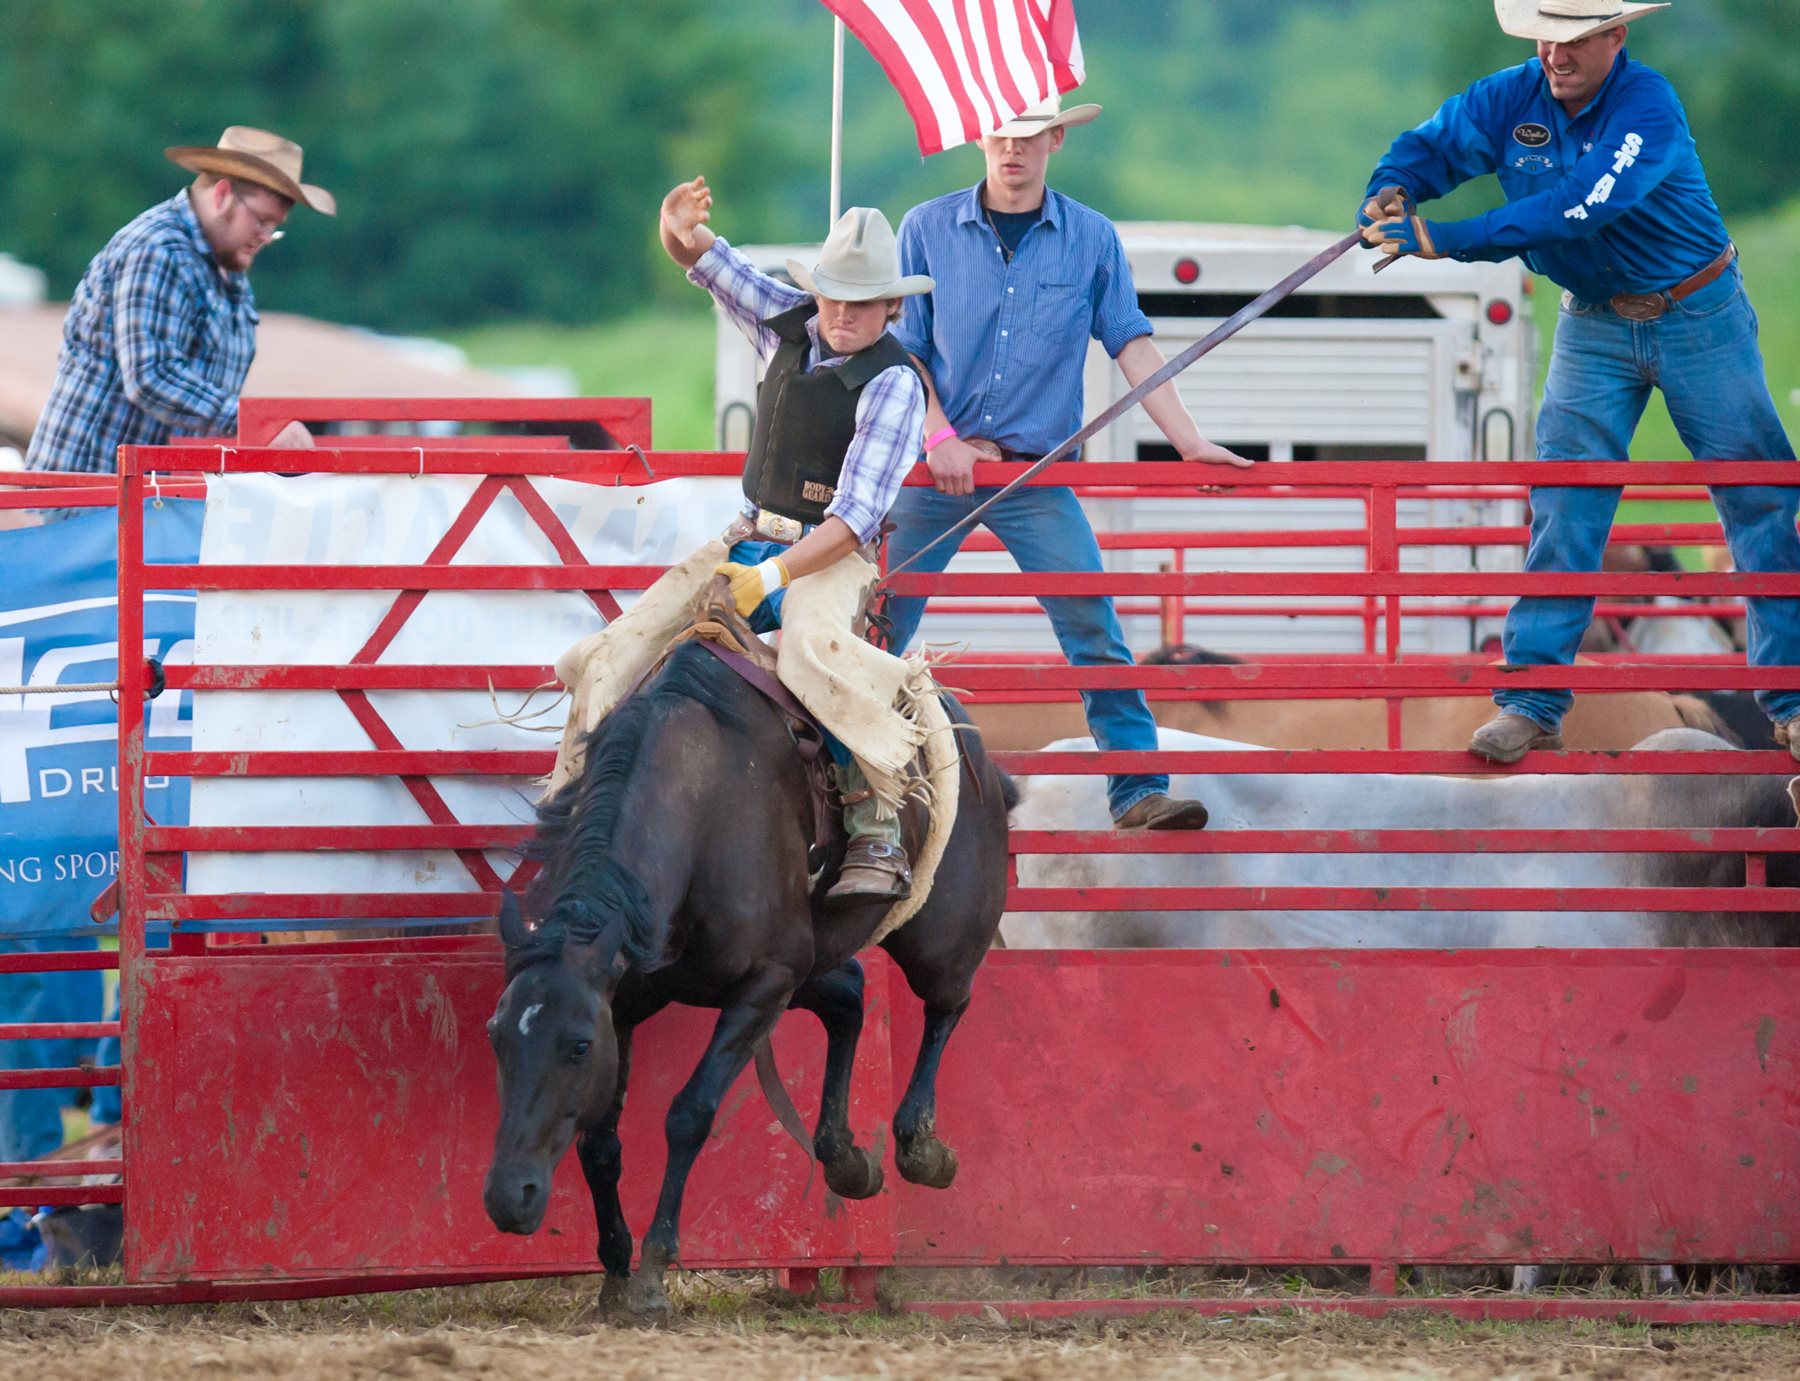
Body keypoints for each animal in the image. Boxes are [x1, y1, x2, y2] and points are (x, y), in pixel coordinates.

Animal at [478, 637, 1015, 1317]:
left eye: (576, 1045)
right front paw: (616, 1271)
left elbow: (689, 1114)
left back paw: (919, 1145)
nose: (507, 1198)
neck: (700, 809)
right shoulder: (625, 1001)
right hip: (814, 962)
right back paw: (846, 1159)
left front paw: (654, 1269)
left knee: (946, 1002)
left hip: (939, 934)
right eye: (497, 1038)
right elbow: (599, 1143)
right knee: (850, 996)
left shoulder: (762, 986)